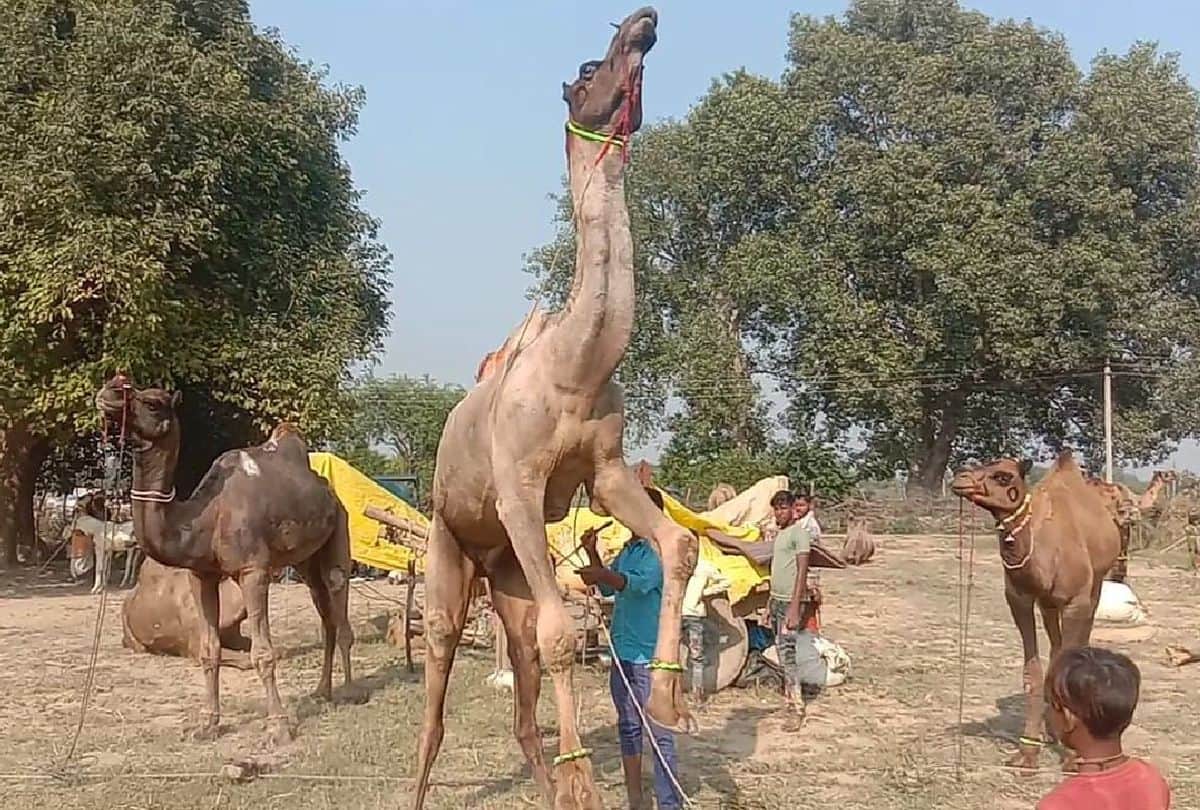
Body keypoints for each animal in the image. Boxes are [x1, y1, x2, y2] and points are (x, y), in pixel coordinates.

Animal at [411, 10, 694, 809]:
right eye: (590, 69)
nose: (643, 22)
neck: (576, 368)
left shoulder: (606, 471)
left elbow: (676, 545)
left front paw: (668, 698)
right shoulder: (518, 484)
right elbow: (565, 635)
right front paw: (583, 782)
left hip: (506, 568)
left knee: (521, 658)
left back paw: (548, 775)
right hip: (450, 543)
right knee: (439, 673)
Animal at [951, 452, 1119, 770]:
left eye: (1003, 475)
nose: (960, 478)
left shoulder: (1076, 600)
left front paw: (1072, 755)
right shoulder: (1020, 598)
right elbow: (1033, 671)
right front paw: (1028, 751)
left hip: (1096, 586)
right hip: (1048, 604)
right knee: (1055, 647)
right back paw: (1053, 729)